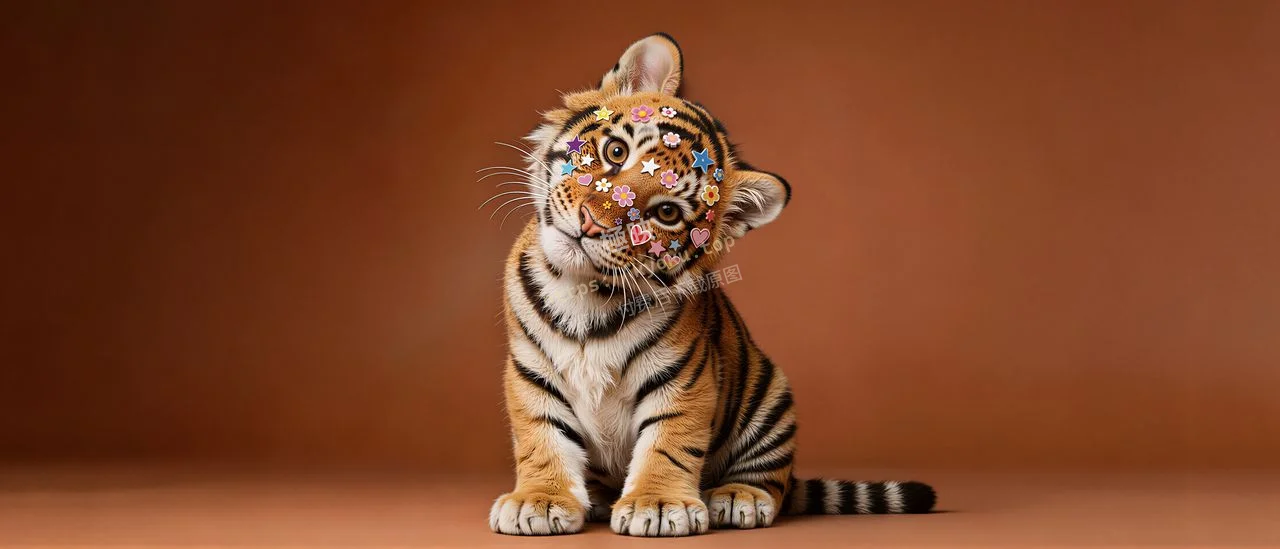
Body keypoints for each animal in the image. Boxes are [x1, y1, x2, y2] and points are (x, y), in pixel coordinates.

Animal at [487, 33, 936, 537]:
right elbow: (540, 436)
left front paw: (657, 504)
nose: (590, 224)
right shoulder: (530, 370)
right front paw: (539, 500)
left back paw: (738, 497)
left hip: (771, 396)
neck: (582, 290)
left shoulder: (681, 376)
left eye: (667, 213)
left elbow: (668, 441)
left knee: (771, 479)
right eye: (616, 152)